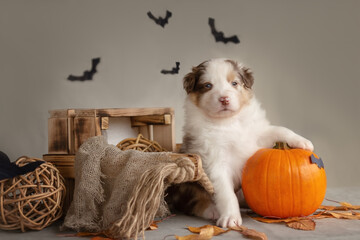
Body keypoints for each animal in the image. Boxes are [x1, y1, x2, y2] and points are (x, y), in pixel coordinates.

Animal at [168, 59, 312, 228]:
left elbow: (280, 130)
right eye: (208, 85)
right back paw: (212, 211)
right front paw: (230, 217)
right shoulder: (215, 161)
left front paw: (303, 142)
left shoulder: (258, 133)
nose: (224, 99)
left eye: (234, 83)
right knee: (193, 202)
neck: (229, 121)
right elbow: (226, 193)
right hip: (187, 183)